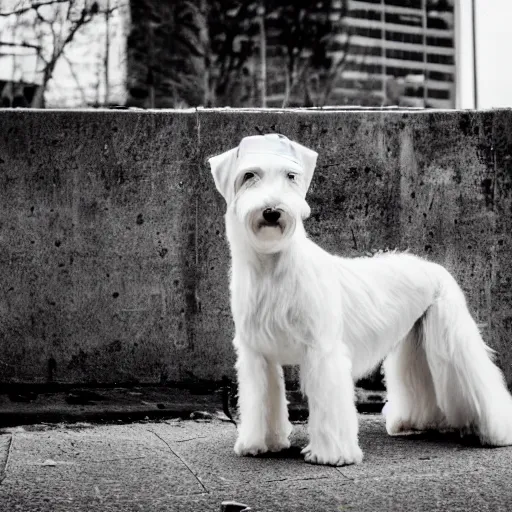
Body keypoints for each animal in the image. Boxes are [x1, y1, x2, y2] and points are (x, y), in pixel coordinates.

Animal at [208, 134, 512, 466]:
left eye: (291, 176)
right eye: (249, 175)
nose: (273, 210)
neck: (273, 267)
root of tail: (435, 267)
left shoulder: (323, 351)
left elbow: (329, 404)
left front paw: (331, 455)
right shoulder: (257, 355)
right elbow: (261, 400)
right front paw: (260, 443)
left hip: (453, 338)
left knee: (480, 383)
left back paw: (495, 433)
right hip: (415, 344)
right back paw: (414, 422)